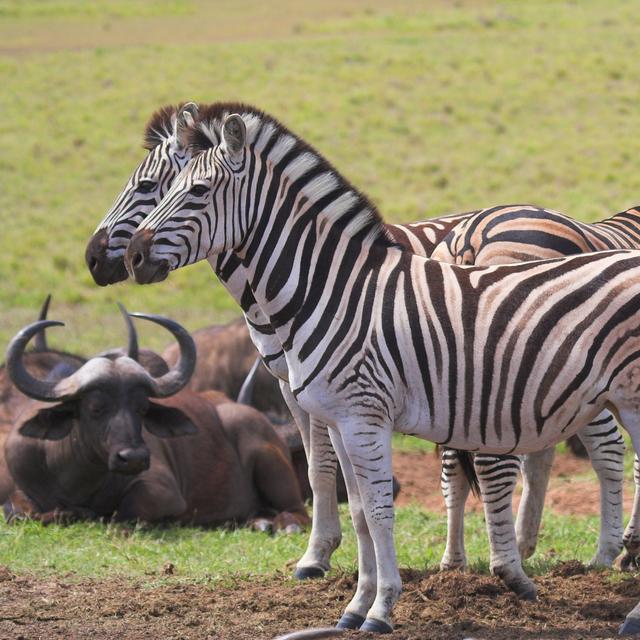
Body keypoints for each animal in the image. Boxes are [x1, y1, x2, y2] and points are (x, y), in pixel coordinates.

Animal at [4, 310, 310, 528]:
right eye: (95, 408)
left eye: (141, 408)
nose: (135, 458)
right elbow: (19, 511)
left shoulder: (164, 492)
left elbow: (123, 513)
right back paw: (258, 522)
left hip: (268, 458)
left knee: (299, 510)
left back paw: (283, 524)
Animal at [121, 102, 640, 632]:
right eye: (164, 186)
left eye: (196, 191)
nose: (131, 257)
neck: (332, 291)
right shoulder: (337, 420)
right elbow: (358, 512)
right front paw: (354, 607)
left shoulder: (364, 417)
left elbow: (378, 511)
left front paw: (382, 608)